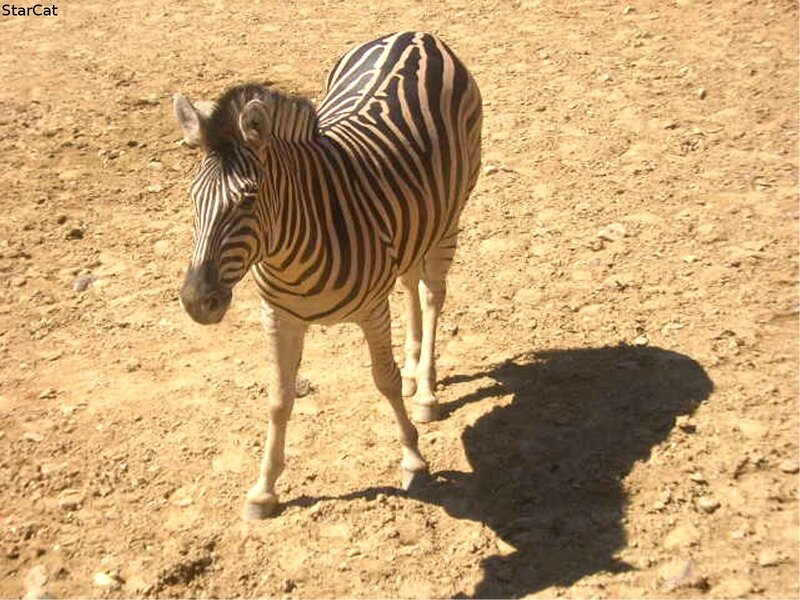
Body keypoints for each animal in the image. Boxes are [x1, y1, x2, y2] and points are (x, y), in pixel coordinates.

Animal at [173, 31, 482, 519]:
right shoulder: (278, 316)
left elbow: (383, 380)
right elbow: (279, 399)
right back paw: (415, 371)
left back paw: (426, 391)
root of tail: (416, 34)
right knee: (410, 284)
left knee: (433, 294)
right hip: (414, 221)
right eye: (192, 197)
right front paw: (264, 489)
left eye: (248, 198)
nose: (195, 301)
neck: (289, 252)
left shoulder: (372, 309)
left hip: (449, 217)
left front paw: (413, 460)